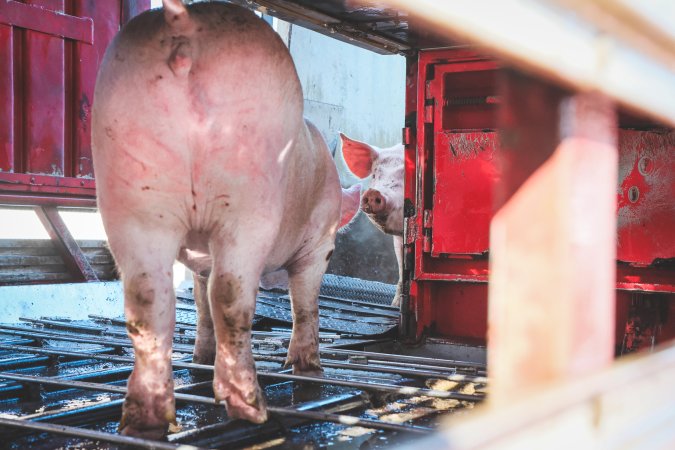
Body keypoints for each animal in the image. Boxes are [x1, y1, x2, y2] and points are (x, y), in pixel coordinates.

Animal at [92, 0, 356, 436]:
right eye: (335, 253)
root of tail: (185, 20)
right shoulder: (320, 243)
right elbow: (305, 304)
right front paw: (309, 370)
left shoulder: (196, 259)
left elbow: (199, 302)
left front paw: (200, 357)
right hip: (250, 189)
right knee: (231, 292)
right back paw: (251, 408)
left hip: (130, 181)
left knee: (148, 296)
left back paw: (143, 422)